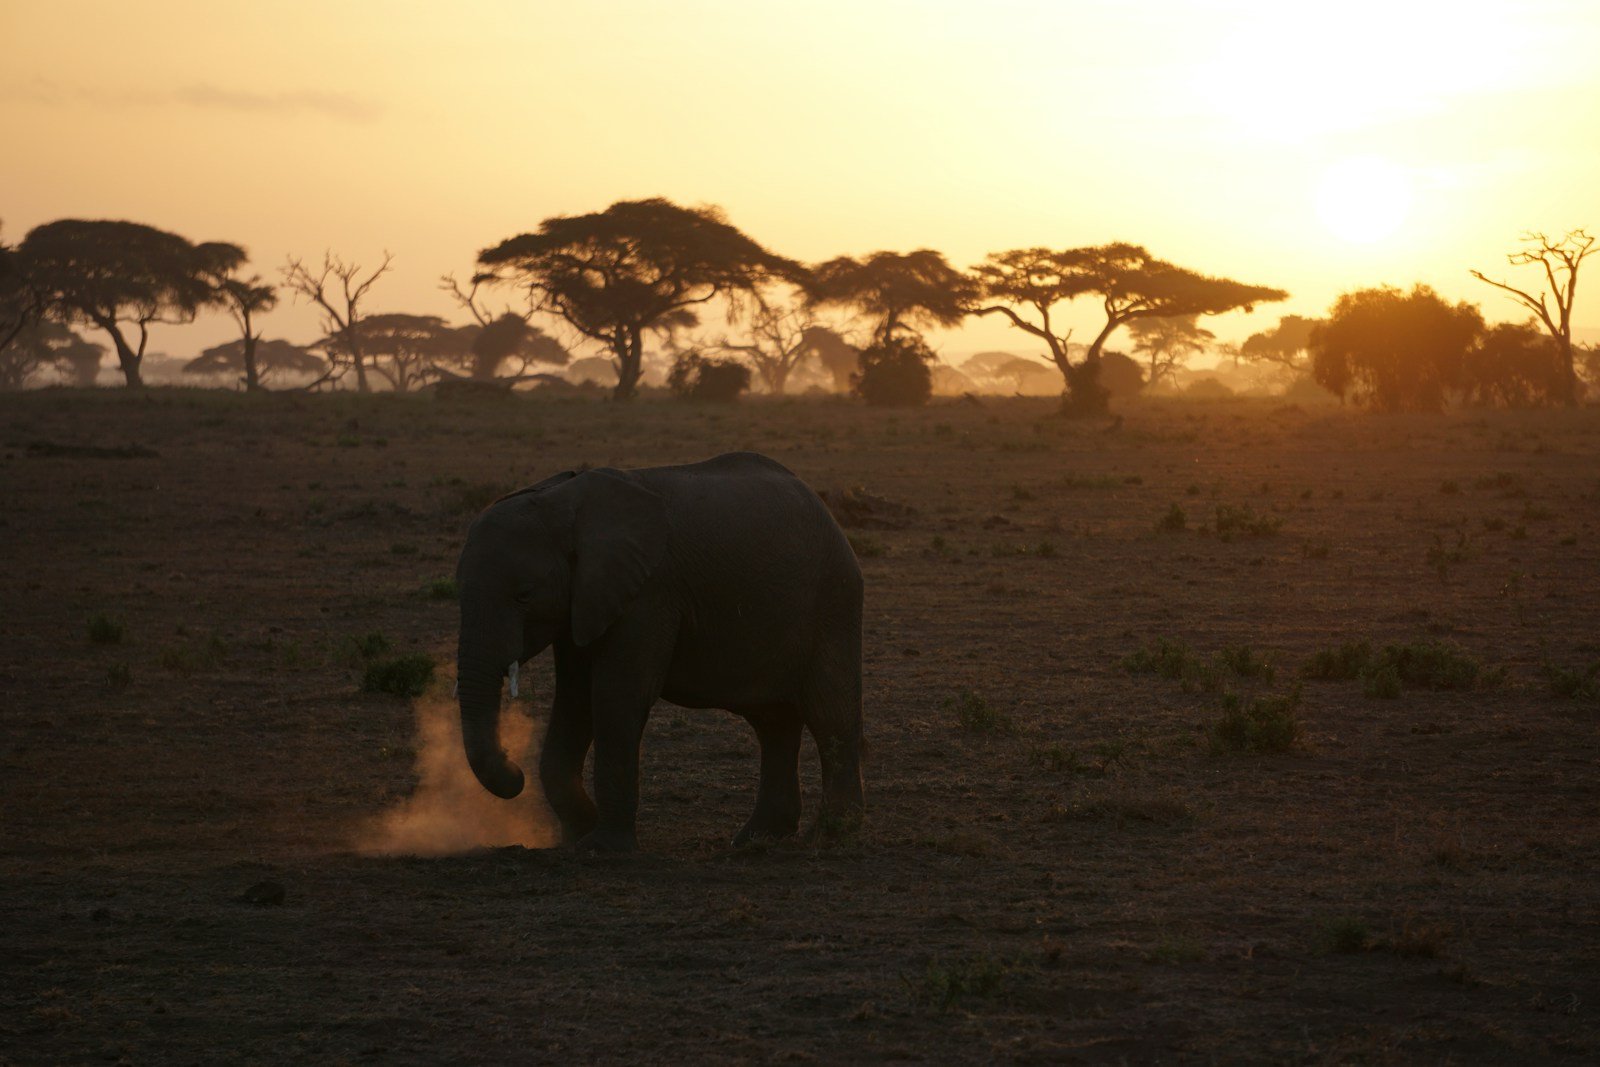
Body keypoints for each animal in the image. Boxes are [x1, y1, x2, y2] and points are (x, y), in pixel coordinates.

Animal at [454, 451, 865, 852]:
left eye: (524, 595)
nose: (515, 768)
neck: (562, 502)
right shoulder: (585, 600)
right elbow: (575, 698)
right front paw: (575, 837)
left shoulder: (649, 594)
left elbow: (616, 695)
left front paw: (600, 849)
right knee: (772, 722)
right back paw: (758, 838)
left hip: (832, 601)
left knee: (829, 714)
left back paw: (830, 836)